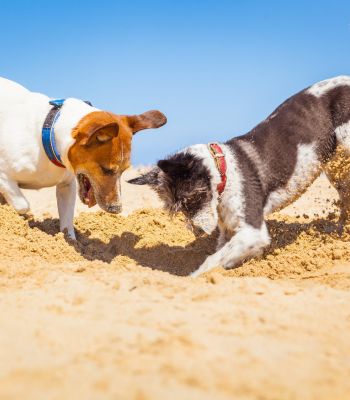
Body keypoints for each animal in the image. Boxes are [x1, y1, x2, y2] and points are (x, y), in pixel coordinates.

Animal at [0, 78, 166, 238]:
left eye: (124, 171)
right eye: (106, 169)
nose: (117, 209)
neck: (47, 134)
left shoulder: (67, 185)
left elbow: (67, 222)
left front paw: (69, 241)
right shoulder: (4, 177)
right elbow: (23, 205)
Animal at [129, 77, 350, 278]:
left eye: (191, 199)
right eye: (177, 208)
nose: (198, 232)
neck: (224, 170)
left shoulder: (253, 232)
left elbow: (211, 260)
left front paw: (192, 278)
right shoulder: (229, 231)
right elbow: (223, 254)